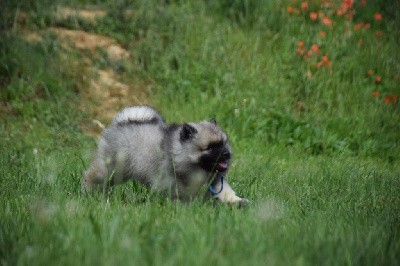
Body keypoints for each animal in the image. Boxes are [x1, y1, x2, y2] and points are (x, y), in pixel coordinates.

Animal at [82, 106, 247, 206]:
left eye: (224, 143)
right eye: (211, 147)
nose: (227, 154)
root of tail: (121, 123)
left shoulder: (215, 182)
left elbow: (226, 191)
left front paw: (238, 202)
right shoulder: (172, 182)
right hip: (112, 168)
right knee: (92, 176)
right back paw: (88, 191)